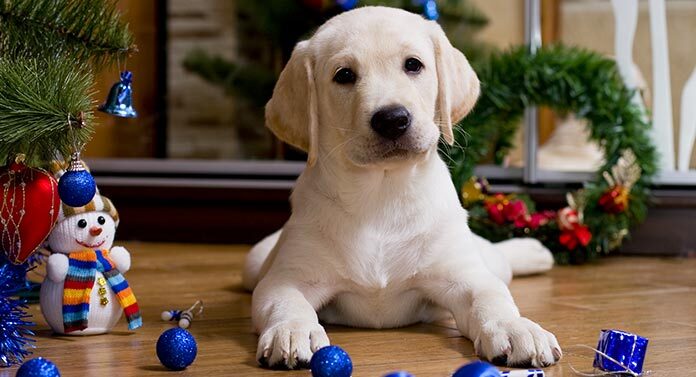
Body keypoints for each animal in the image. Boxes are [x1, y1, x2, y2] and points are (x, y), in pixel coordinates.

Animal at [245, 5, 560, 368]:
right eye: (344, 75)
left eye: (413, 65)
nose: (392, 119)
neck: (381, 194)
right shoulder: (285, 278)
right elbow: (286, 301)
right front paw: (293, 330)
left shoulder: (465, 277)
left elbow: (491, 297)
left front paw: (515, 328)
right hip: (255, 261)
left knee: (498, 261)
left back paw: (534, 250)